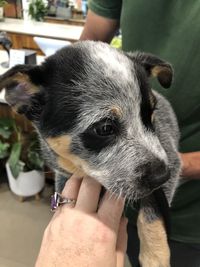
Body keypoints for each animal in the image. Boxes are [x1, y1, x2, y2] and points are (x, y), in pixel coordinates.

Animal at [0, 40, 181, 266]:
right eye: (104, 128)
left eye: (150, 115)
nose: (163, 176)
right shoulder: (65, 173)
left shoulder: (170, 157)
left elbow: (151, 211)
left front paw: (155, 255)